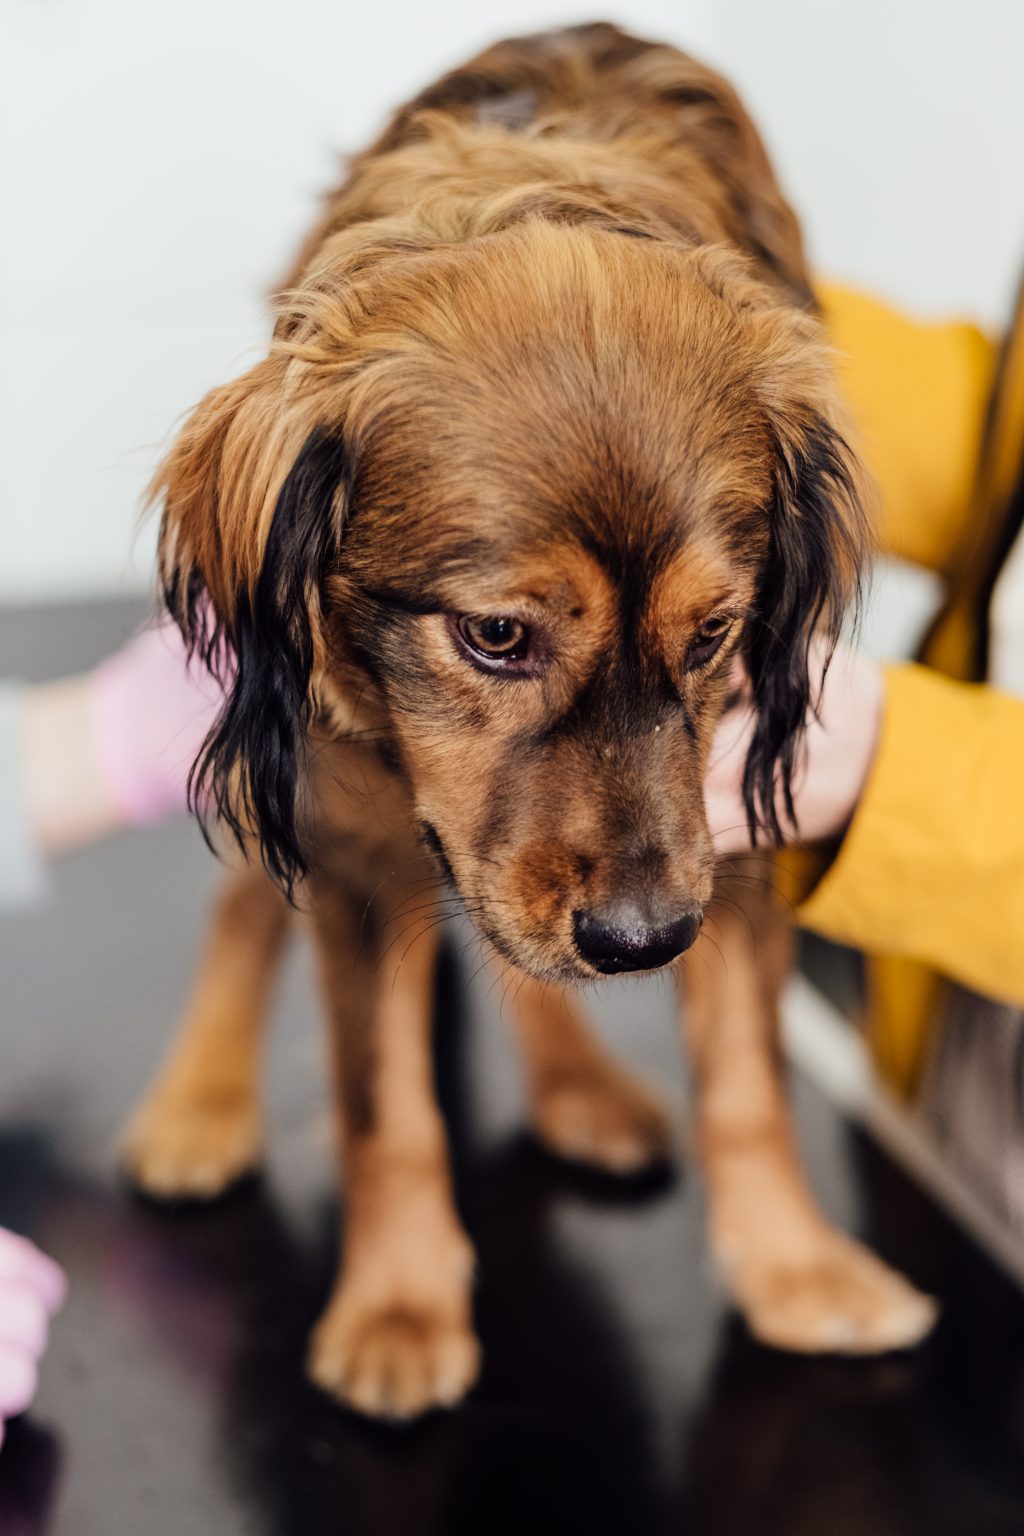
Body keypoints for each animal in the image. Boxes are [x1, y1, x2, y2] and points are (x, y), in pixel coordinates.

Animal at [120, 21, 939, 1413]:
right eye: (495, 636)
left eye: (714, 635)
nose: (642, 941)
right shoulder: (351, 833)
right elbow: (386, 1105)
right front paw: (399, 1306)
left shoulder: (727, 820)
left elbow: (746, 1078)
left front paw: (793, 1267)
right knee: (250, 906)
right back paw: (200, 1103)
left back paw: (578, 1086)